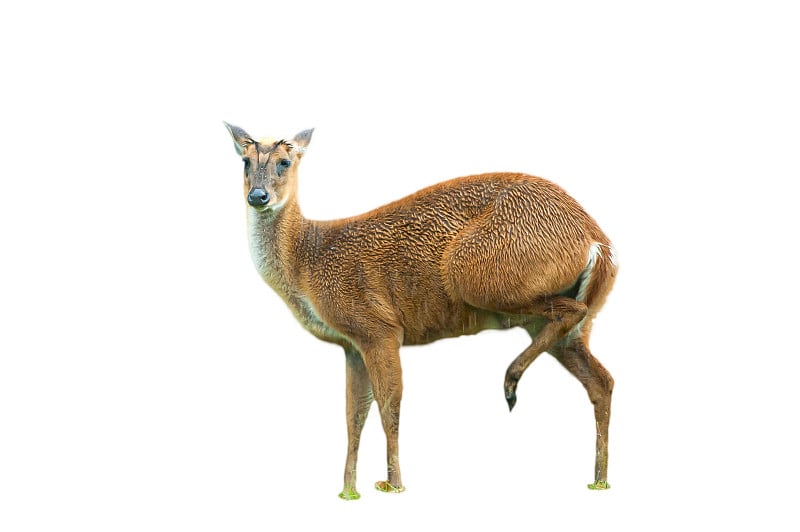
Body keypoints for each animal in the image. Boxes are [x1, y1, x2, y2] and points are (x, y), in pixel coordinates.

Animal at [223, 122, 620, 500]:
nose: (257, 196)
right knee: (601, 379)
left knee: (573, 312)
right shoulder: (351, 344)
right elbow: (354, 414)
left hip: (479, 272)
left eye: (284, 162)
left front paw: (393, 484)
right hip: (546, 320)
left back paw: (510, 384)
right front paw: (348, 490)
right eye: (245, 161)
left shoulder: (378, 326)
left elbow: (389, 404)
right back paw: (599, 479)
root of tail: (597, 242)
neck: (308, 260)